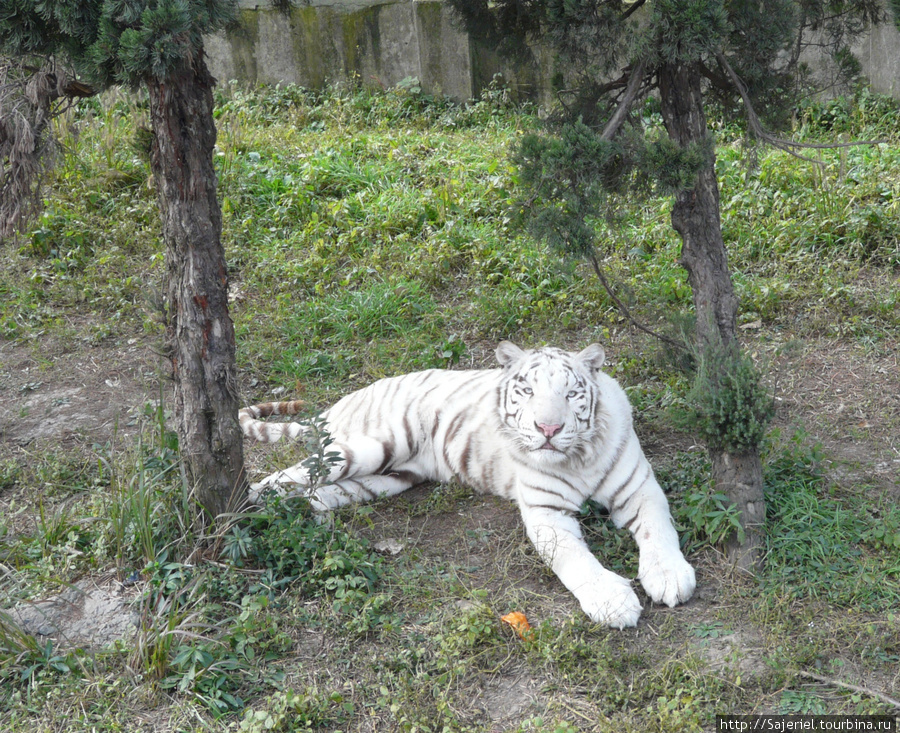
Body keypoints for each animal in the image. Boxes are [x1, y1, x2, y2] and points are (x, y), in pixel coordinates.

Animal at [239, 340, 696, 628]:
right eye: (527, 391)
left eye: (571, 394)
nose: (548, 429)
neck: (577, 457)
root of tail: (337, 403)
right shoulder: (545, 512)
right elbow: (574, 559)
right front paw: (612, 602)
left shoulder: (641, 487)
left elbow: (659, 530)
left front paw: (669, 577)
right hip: (371, 445)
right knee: (280, 478)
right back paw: (251, 511)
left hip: (385, 479)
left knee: (315, 492)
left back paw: (306, 521)